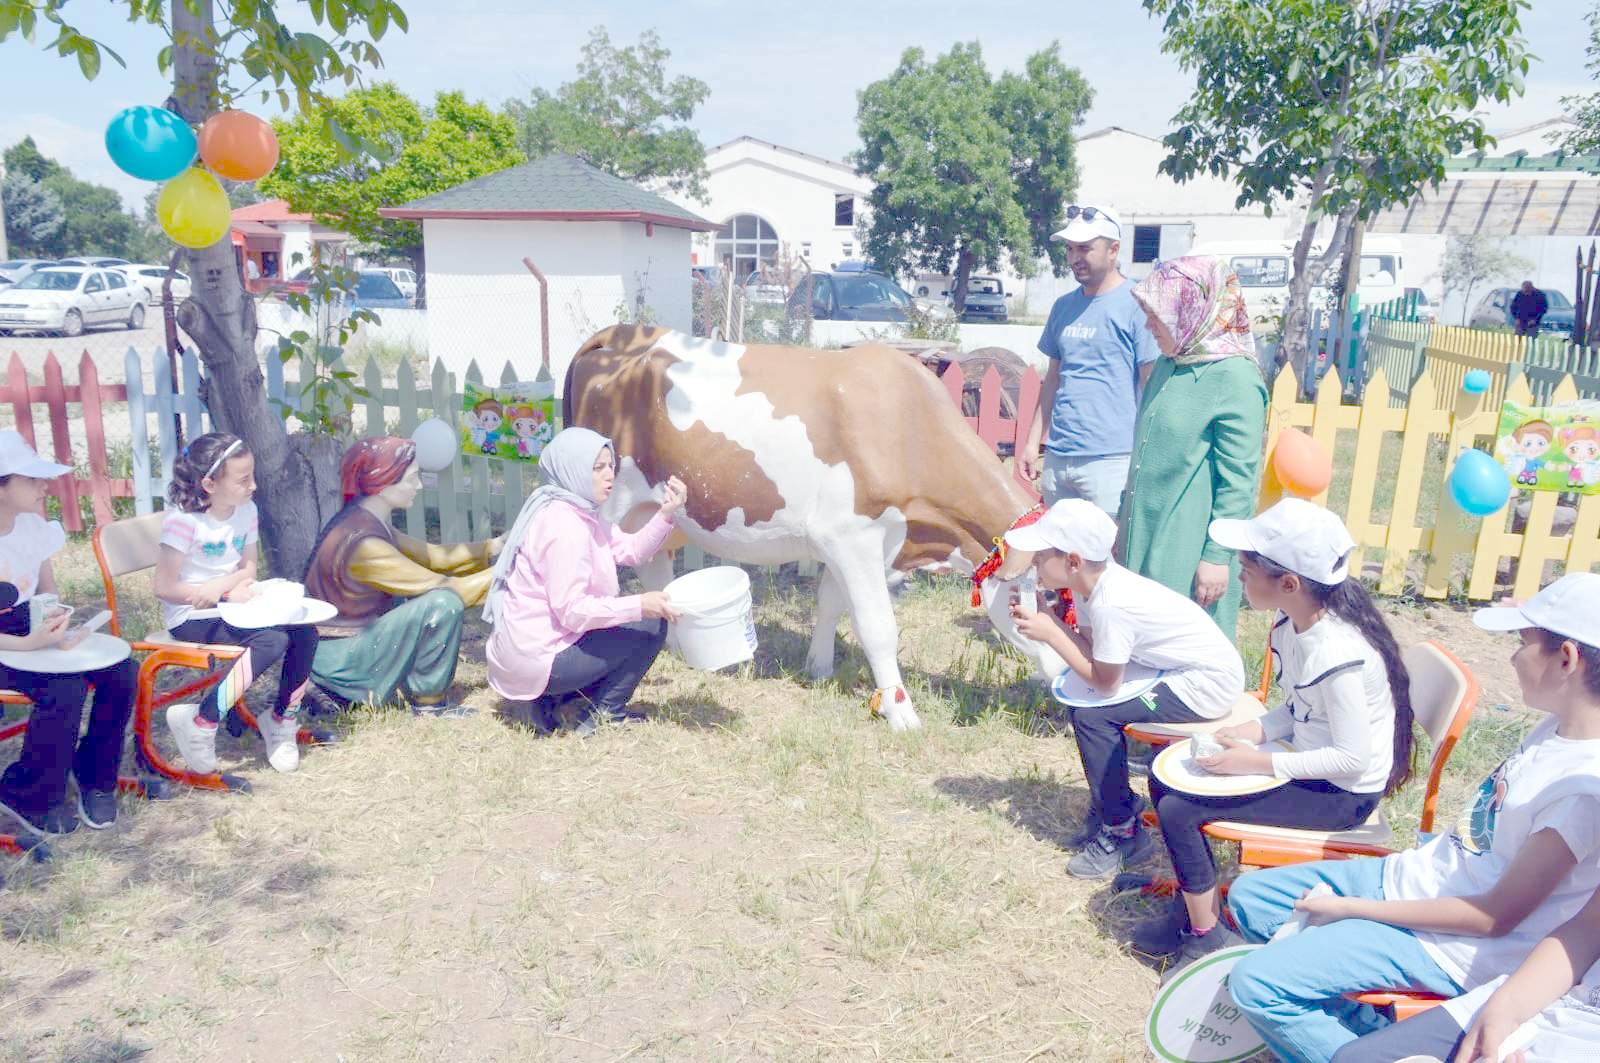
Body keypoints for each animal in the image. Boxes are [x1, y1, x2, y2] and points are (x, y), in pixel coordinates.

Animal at [563, 320, 1062, 726]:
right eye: (1044, 595)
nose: (1064, 674)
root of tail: (622, 333)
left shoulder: (846, 541)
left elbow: (829, 603)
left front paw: (819, 668)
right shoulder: (853, 537)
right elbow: (877, 625)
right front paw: (901, 712)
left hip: (649, 508)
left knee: (655, 567)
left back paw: (675, 648)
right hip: (609, 503)